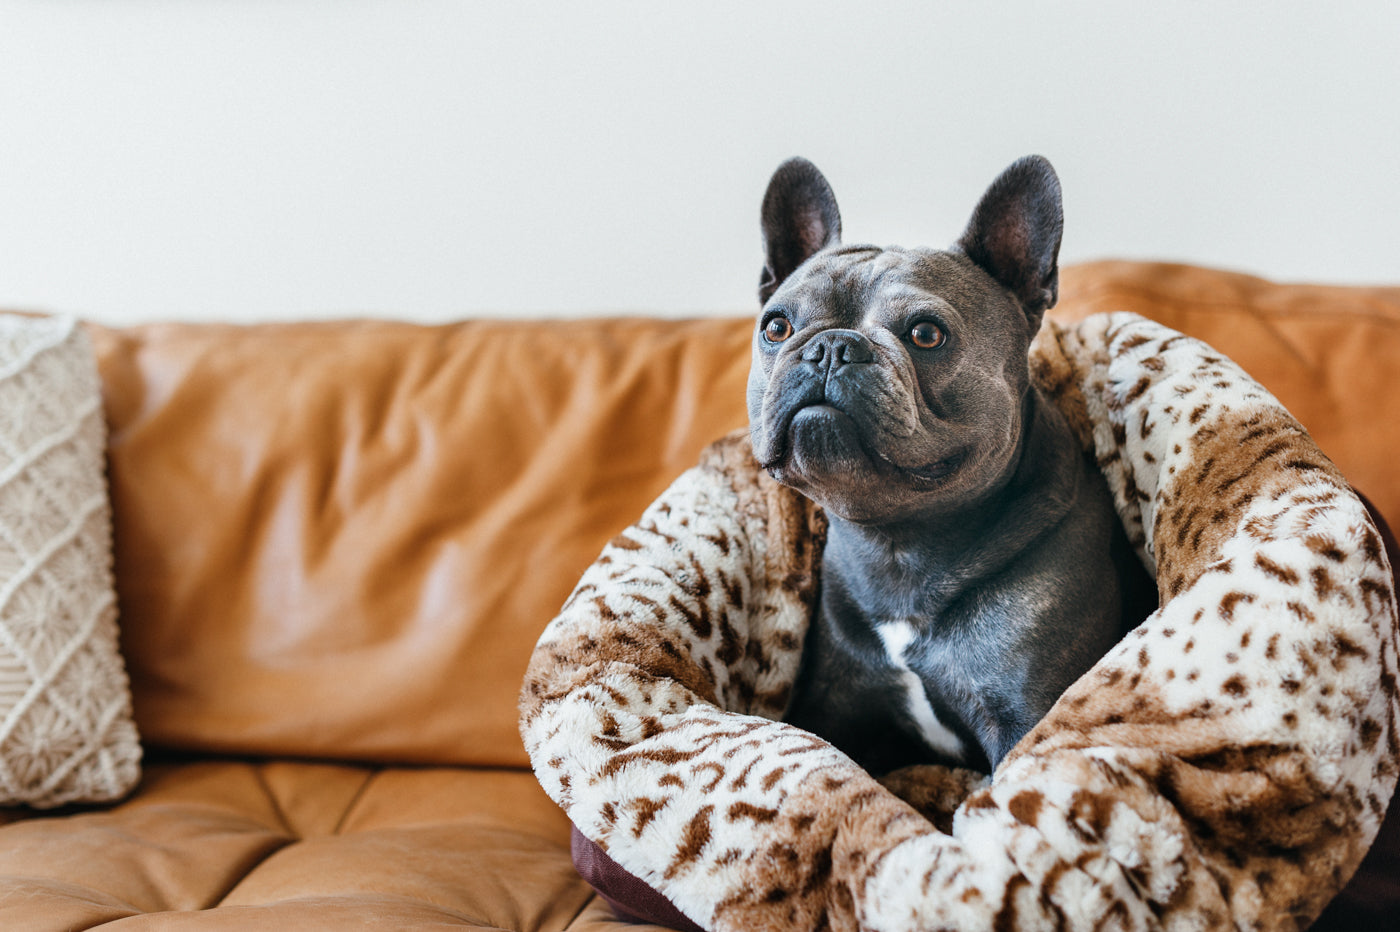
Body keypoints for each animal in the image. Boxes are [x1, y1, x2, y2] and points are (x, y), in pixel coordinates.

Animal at [750, 156, 1153, 772]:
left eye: (925, 334)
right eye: (776, 327)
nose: (832, 346)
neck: (899, 543)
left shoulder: (1023, 718)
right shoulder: (835, 709)